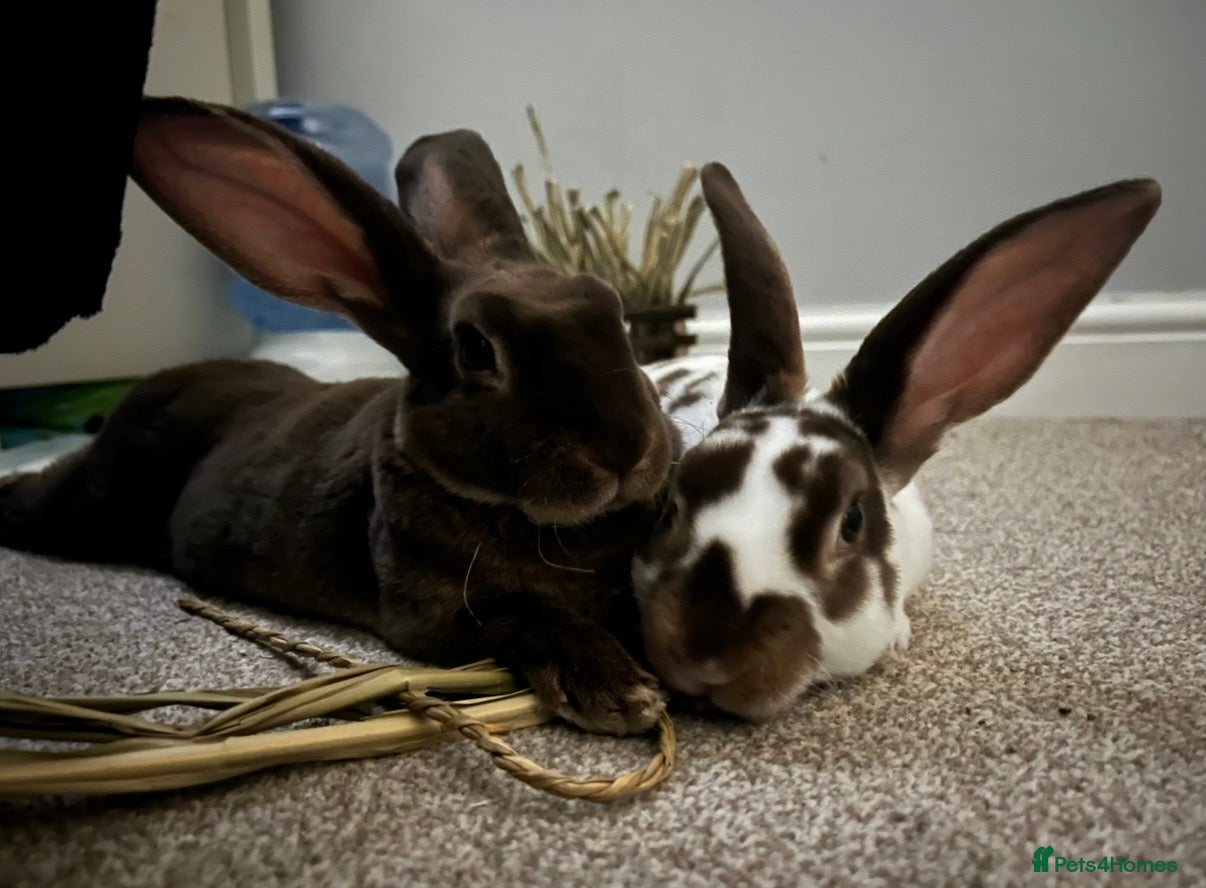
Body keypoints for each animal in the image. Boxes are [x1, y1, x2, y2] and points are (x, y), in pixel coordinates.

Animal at [0, 96, 680, 735]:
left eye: (612, 310)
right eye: (476, 348)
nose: (626, 449)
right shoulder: (442, 611)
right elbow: (531, 618)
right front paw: (621, 694)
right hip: (91, 506)